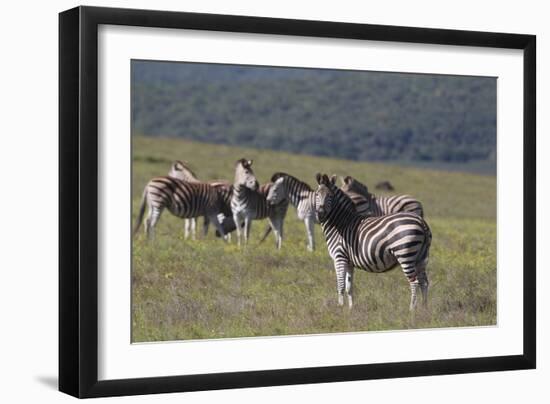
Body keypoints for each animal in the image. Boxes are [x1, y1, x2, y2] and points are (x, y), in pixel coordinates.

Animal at [314, 173, 432, 310]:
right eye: (317, 194)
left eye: (331, 196)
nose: (321, 214)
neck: (340, 223)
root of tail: (421, 222)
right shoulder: (349, 262)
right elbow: (349, 287)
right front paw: (350, 309)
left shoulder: (339, 257)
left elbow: (341, 286)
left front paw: (340, 308)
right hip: (420, 257)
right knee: (424, 282)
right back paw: (424, 309)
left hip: (405, 254)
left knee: (414, 282)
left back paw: (412, 310)